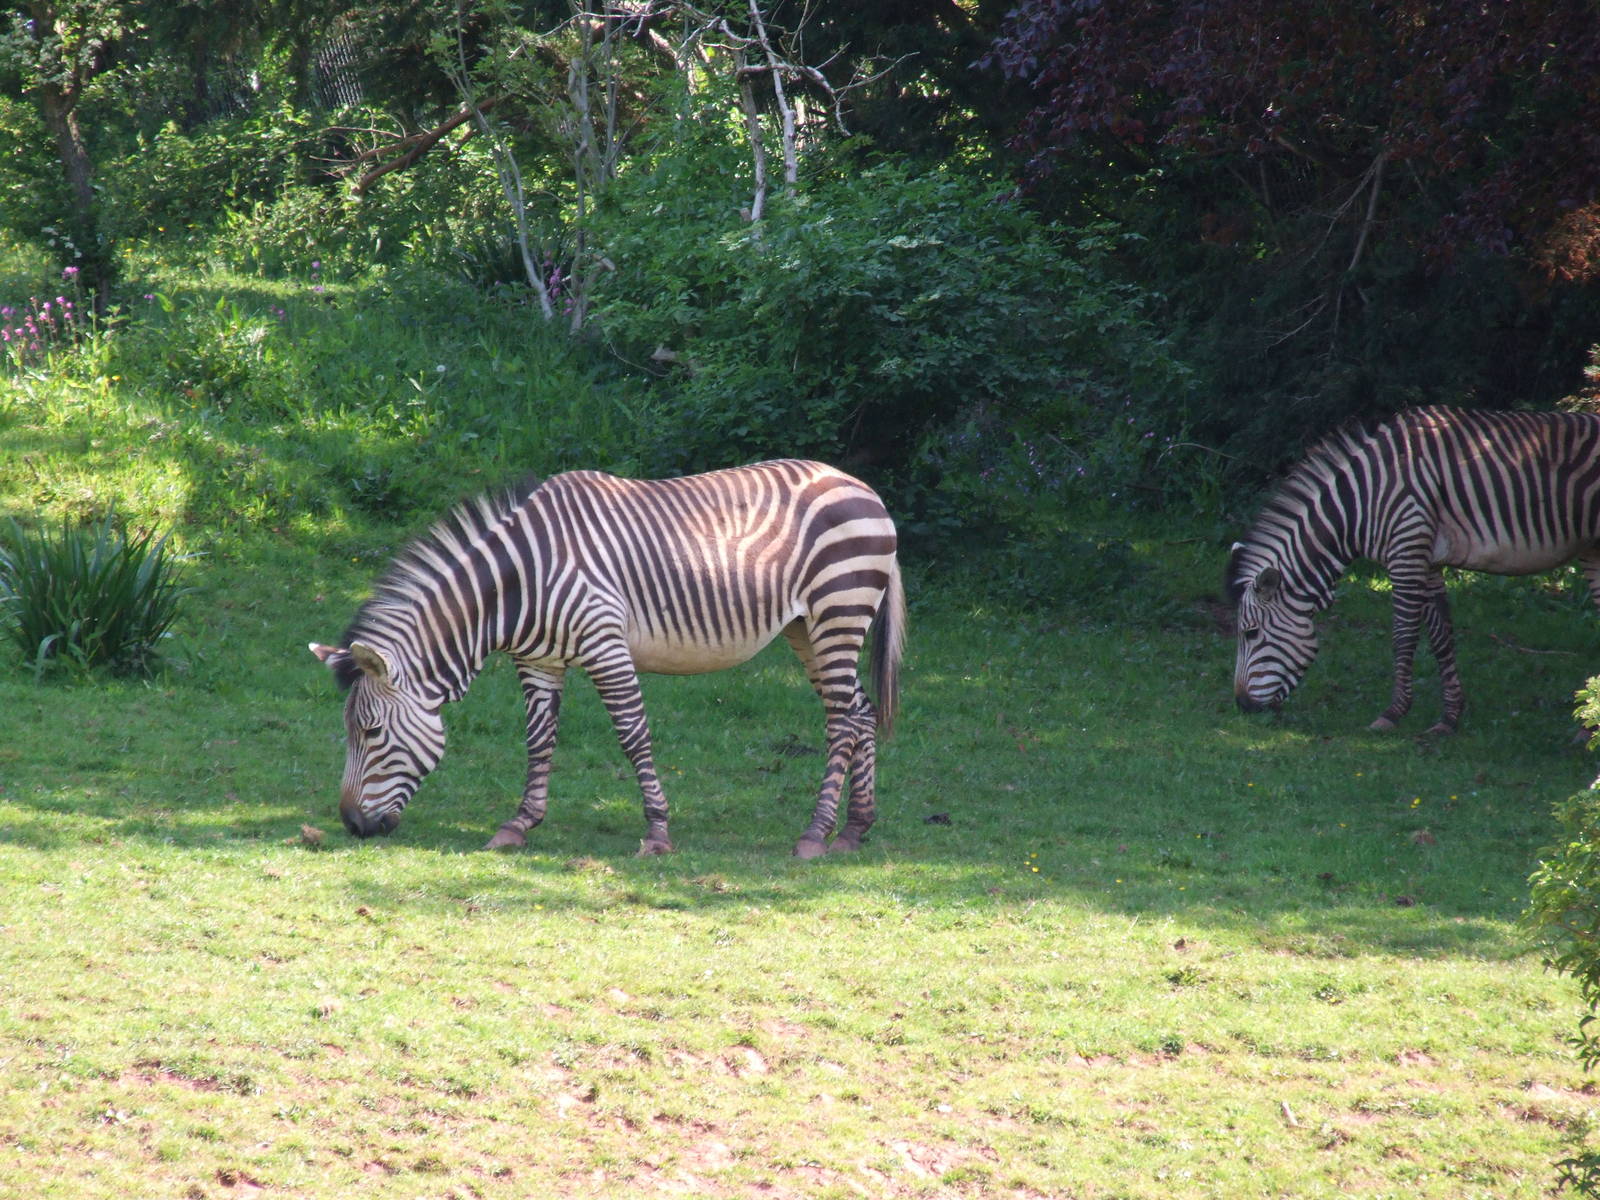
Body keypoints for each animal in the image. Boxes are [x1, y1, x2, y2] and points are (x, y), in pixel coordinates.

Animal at [309, 459, 905, 857]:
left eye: (371, 733)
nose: (352, 825)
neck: (518, 584)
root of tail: (865, 488)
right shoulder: (539, 661)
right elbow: (539, 740)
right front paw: (519, 824)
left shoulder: (605, 644)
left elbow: (632, 734)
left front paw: (657, 833)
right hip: (808, 628)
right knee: (860, 712)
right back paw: (855, 829)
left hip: (837, 611)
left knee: (841, 720)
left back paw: (815, 834)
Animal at [1227, 405, 1600, 734]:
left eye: (1251, 633)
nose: (1242, 706)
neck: (1361, 501)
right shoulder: (1430, 560)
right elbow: (1441, 637)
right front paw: (1449, 719)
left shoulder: (1407, 548)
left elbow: (1403, 635)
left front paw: (1392, 714)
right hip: (1592, 550)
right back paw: (1585, 732)